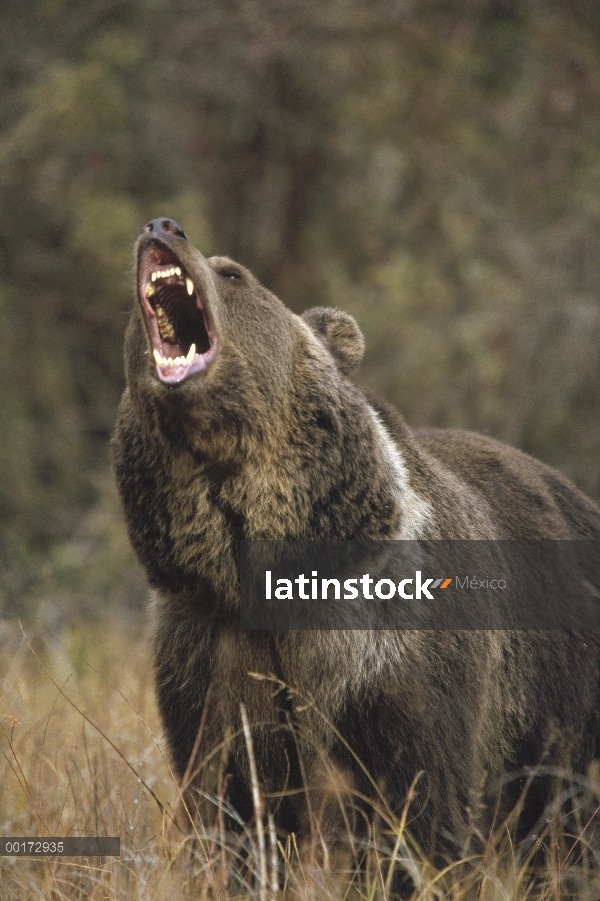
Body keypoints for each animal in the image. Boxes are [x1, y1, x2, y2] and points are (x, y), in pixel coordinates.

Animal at [110, 216, 600, 864]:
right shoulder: (207, 652)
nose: (162, 226)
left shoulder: (390, 656)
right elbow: (232, 799)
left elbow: (422, 794)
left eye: (233, 273)